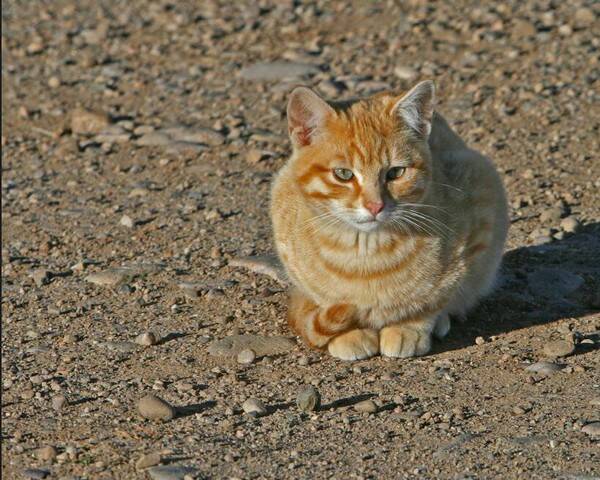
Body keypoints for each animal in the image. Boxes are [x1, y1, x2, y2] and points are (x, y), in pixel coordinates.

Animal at [270, 81, 508, 360]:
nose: (375, 206)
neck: (366, 255)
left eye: (395, 173)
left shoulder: (480, 210)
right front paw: (349, 333)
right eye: (343, 174)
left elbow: (432, 300)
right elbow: (325, 299)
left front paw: (409, 327)